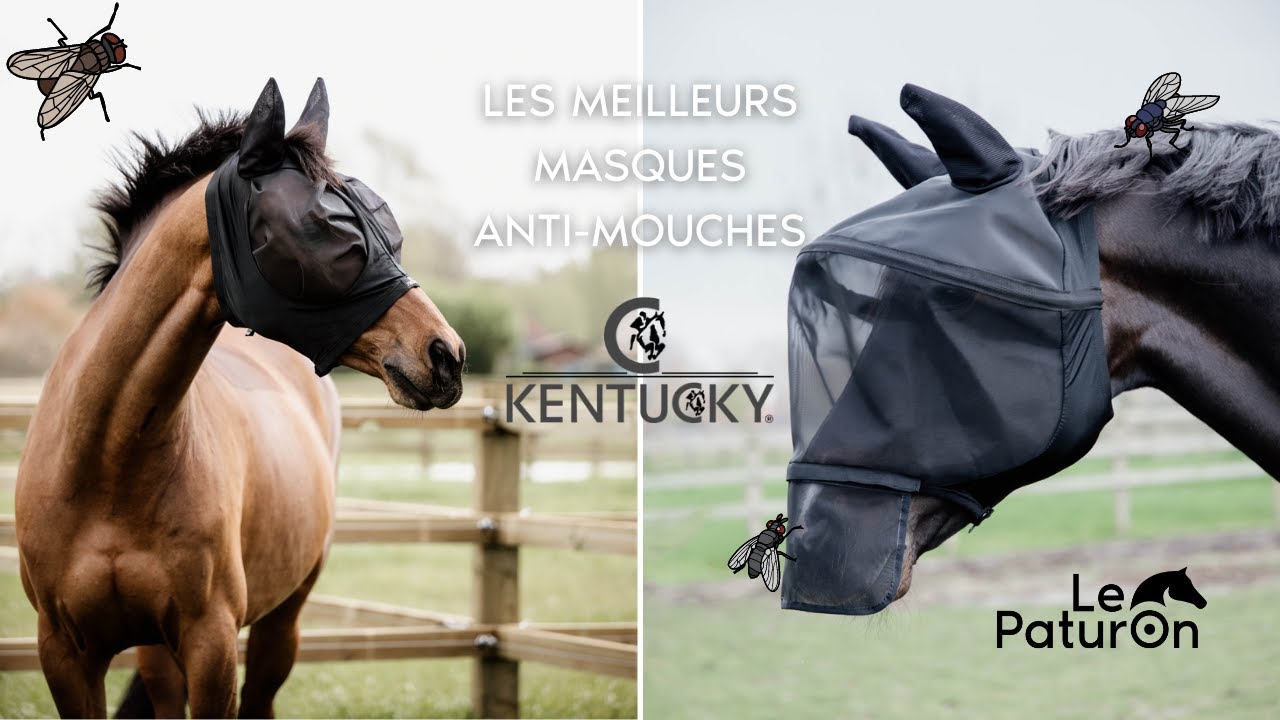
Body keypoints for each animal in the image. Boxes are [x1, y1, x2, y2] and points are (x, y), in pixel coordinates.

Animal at [14, 78, 465, 718]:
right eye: (329, 228)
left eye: (388, 225)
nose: (447, 355)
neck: (108, 465)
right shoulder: (65, 653)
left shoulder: (212, 644)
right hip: (155, 650)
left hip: (283, 618)